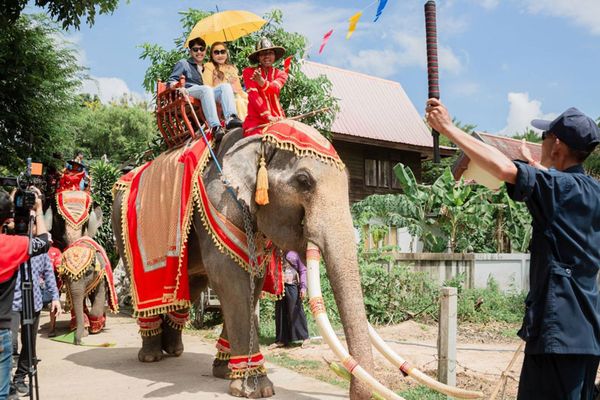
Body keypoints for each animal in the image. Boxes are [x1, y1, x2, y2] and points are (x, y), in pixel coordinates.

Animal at [110, 127, 376, 400]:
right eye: (304, 181)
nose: (356, 394)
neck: (258, 136)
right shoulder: (220, 202)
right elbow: (229, 277)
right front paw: (256, 388)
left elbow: (253, 279)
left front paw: (226, 372)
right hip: (123, 231)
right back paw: (151, 356)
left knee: (191, 286)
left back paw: (173, 350)